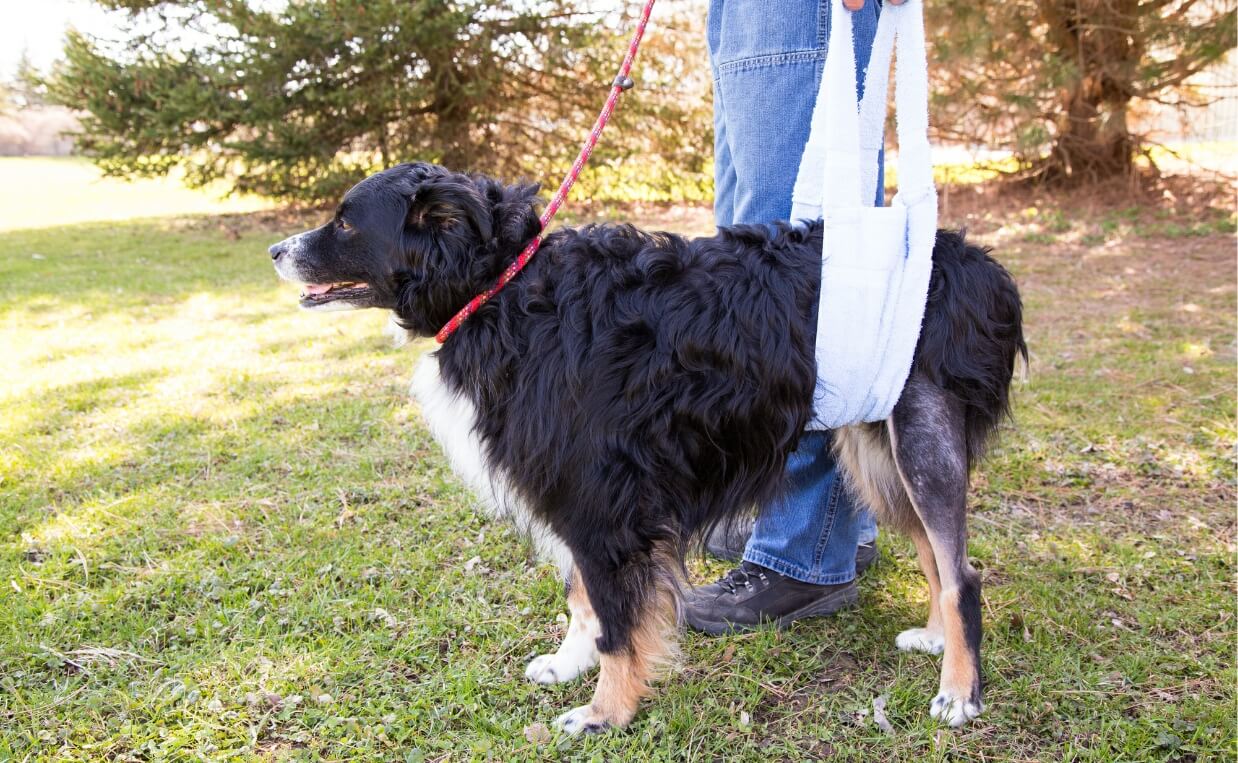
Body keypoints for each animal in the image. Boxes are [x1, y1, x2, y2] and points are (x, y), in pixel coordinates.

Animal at [268, 161, 1025, 733]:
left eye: (345, 221)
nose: (276, 250)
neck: (504, 289)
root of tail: (971, 260)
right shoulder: (577, 493)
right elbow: (583, 597)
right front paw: (569, 664)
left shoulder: (603, 500)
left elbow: (616, 619)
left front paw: (604, 711)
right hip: (876, 445)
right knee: (934, 555)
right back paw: (935, 638)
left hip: (918, 436)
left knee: (961, 573)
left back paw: (959, 691)